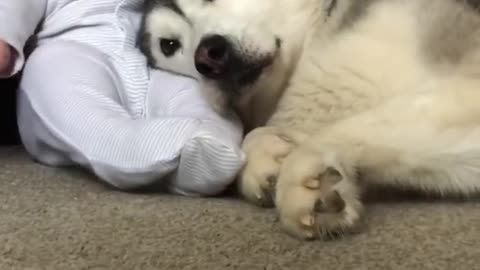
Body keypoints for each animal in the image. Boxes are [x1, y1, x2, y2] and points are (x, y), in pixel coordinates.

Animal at [141, 0, 480, 240]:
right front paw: (267, 155)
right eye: (169, 45)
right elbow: (255, 136)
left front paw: (305, 166)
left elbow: (350, 129)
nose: (209, 55)